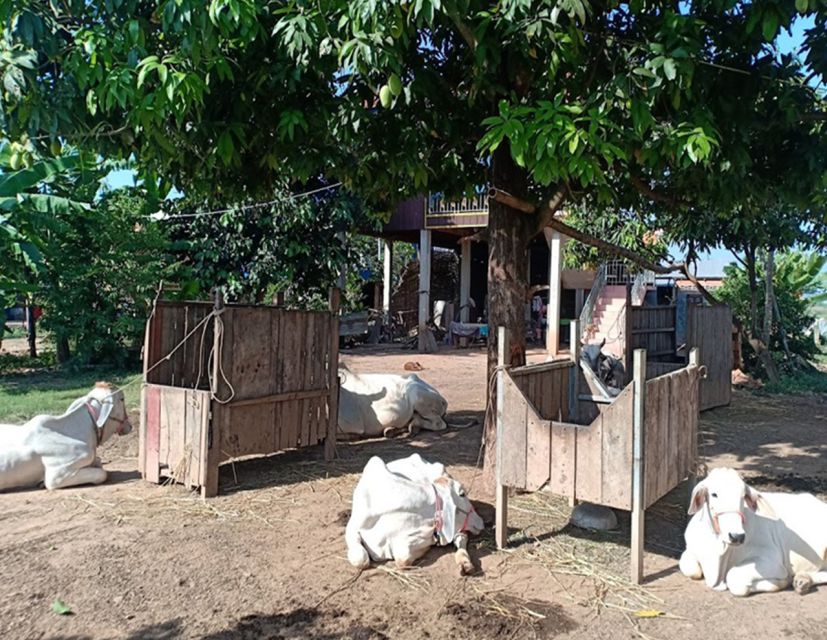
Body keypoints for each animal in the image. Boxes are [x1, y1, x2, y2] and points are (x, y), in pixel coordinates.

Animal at [344, 452, 486, 576]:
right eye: (462, 494)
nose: (481, 522)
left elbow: (403, 559)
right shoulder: (351, 529)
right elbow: (361, 560)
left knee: (461, 537)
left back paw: (465, 563)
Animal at [680, 464, 827, 596]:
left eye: (742, 496)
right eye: (714, 494)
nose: (737, 536)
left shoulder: (772, 560)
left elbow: (734, 578)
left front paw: (783, 582)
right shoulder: (690, 551)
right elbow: (690, 568)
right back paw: (803, 580)